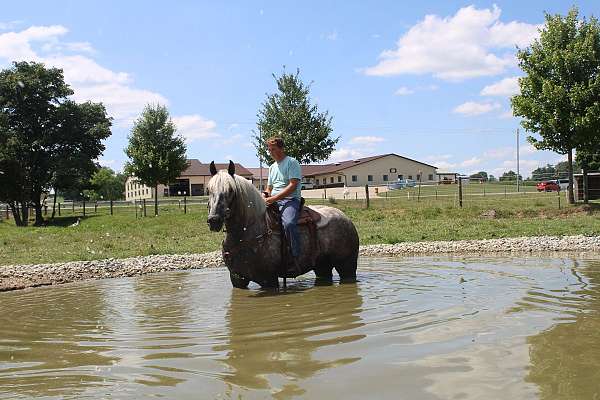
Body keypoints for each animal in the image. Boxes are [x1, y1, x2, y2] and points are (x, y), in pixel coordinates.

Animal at [207, 161, 356, 290]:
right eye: (209, 189)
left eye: (231, 190)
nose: (214, 220)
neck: (246, 233)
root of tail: (345, 217)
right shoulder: (237, 279)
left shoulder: (268, 280)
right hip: (322, 267)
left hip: (347, 266)